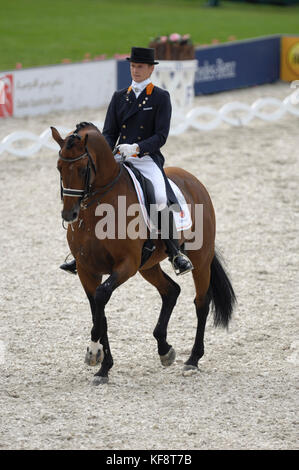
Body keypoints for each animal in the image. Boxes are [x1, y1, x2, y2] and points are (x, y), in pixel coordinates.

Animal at [51, 121, 237, 386]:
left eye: (83, 168)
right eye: (59, 167)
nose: (69, 215)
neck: (98, 209)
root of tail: (191, 179)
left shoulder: (126, 265)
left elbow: (101, 297)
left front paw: (95, 353)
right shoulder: (87, 271)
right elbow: (99, 310)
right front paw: (103, 366)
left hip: (200, 258)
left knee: (201, 302)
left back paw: (192, 360)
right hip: (148, 266)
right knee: (171, 291)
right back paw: (164, 349)